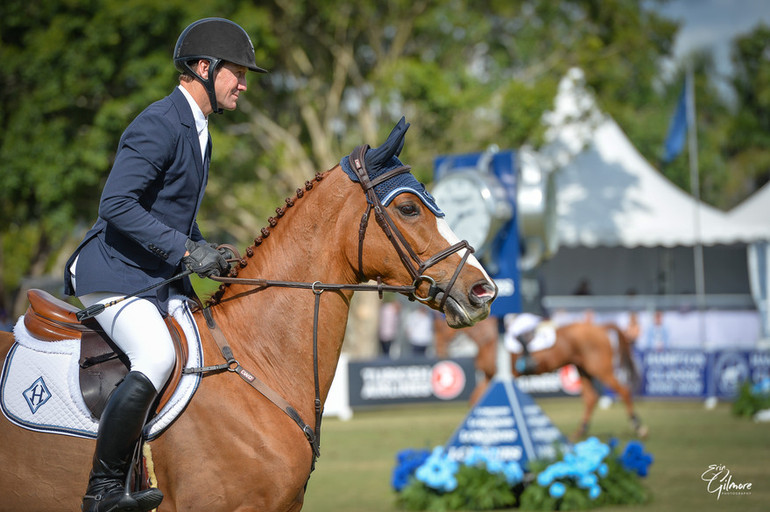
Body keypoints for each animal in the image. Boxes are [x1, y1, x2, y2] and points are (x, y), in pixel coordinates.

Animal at [436, 318, 644, 438]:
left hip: (600, 369)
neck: (488, 339)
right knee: (591, 398)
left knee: (624, 391)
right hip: (583, 369)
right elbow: (474, 401)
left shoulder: (503, 377)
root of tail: (599, 327)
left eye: (439, 329)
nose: (439, 351)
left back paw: (639, 427)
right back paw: (580, 431)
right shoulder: (489, 378)